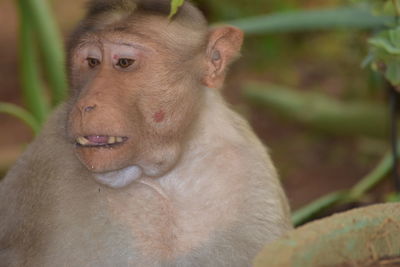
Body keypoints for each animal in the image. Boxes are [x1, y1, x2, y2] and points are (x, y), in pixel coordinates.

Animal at [0, 0, 290, 266]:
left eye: (124, 63)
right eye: (92, 62)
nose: (85, 105)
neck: (162, 177)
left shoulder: (253, 178)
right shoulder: (43, 158)